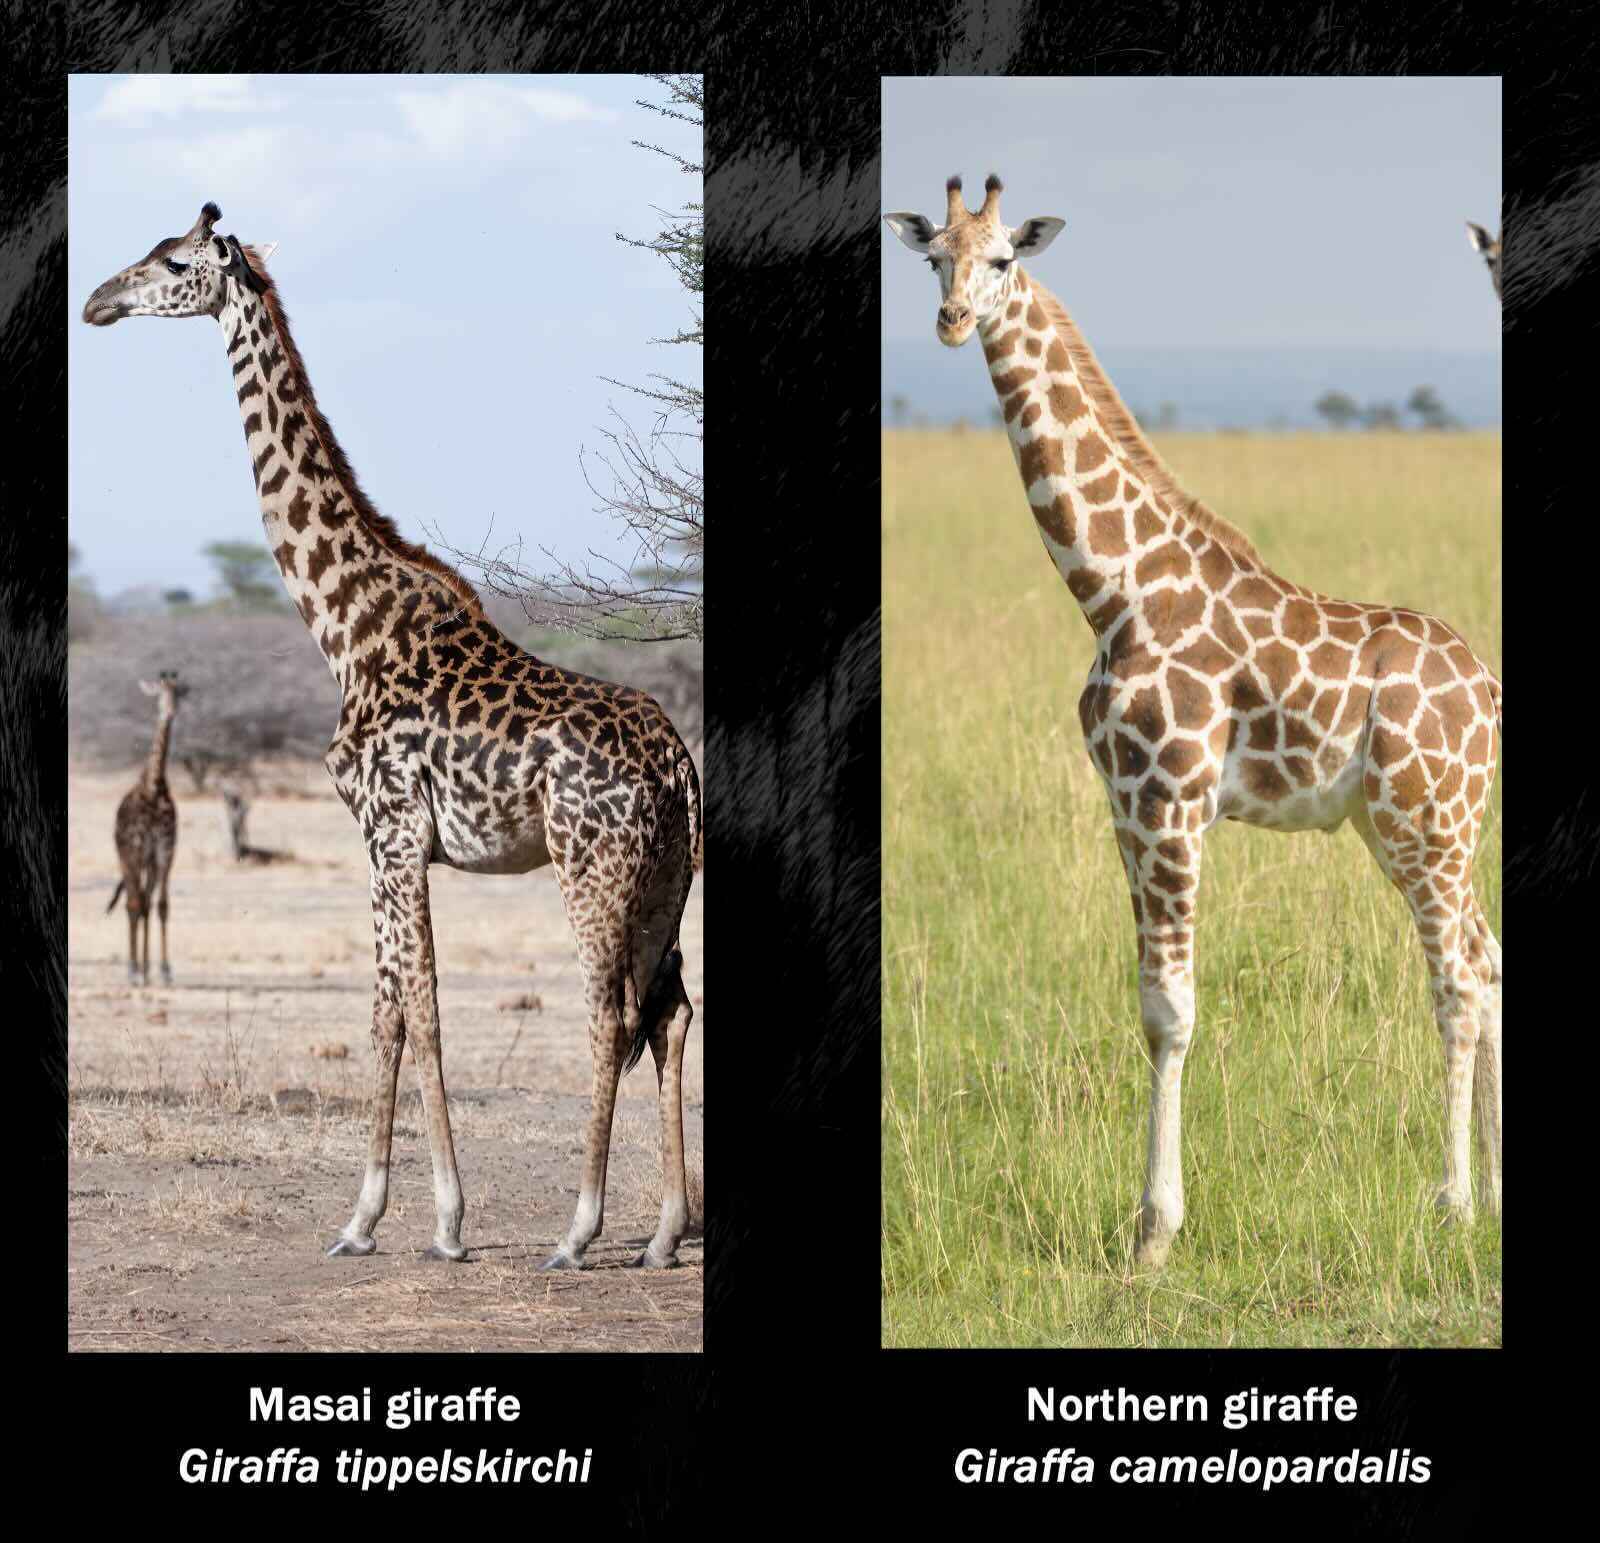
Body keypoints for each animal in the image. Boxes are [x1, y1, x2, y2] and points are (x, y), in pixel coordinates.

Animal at [106, 671, 187, 986]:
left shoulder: (165, 850)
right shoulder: (139, 848)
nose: (170, 712)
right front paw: (134, 970)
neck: (155, 787)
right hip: (127, 856)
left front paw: (164, 970)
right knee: (133, 902)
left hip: (149, 862)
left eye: (179, 694)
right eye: (158, 695)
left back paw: (145, 968)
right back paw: (135, 969)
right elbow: (136, 904)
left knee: (146, 902)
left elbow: (162, 906)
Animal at [886, 176, 1502, 1269]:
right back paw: (1499, 1192)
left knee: (1458, 977)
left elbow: (1173, 1010)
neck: (1113, 588)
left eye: (1003, 258)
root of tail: (1489, 691)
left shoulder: (1171, 798)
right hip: (1407, 828)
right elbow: (1145, 1000)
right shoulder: (1126, 806)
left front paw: (1153, 1234)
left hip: (1426, 823)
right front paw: (1149, 1223)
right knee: (1492, 959)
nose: (953, 319)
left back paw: (1454, 1204)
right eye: (932, 259)